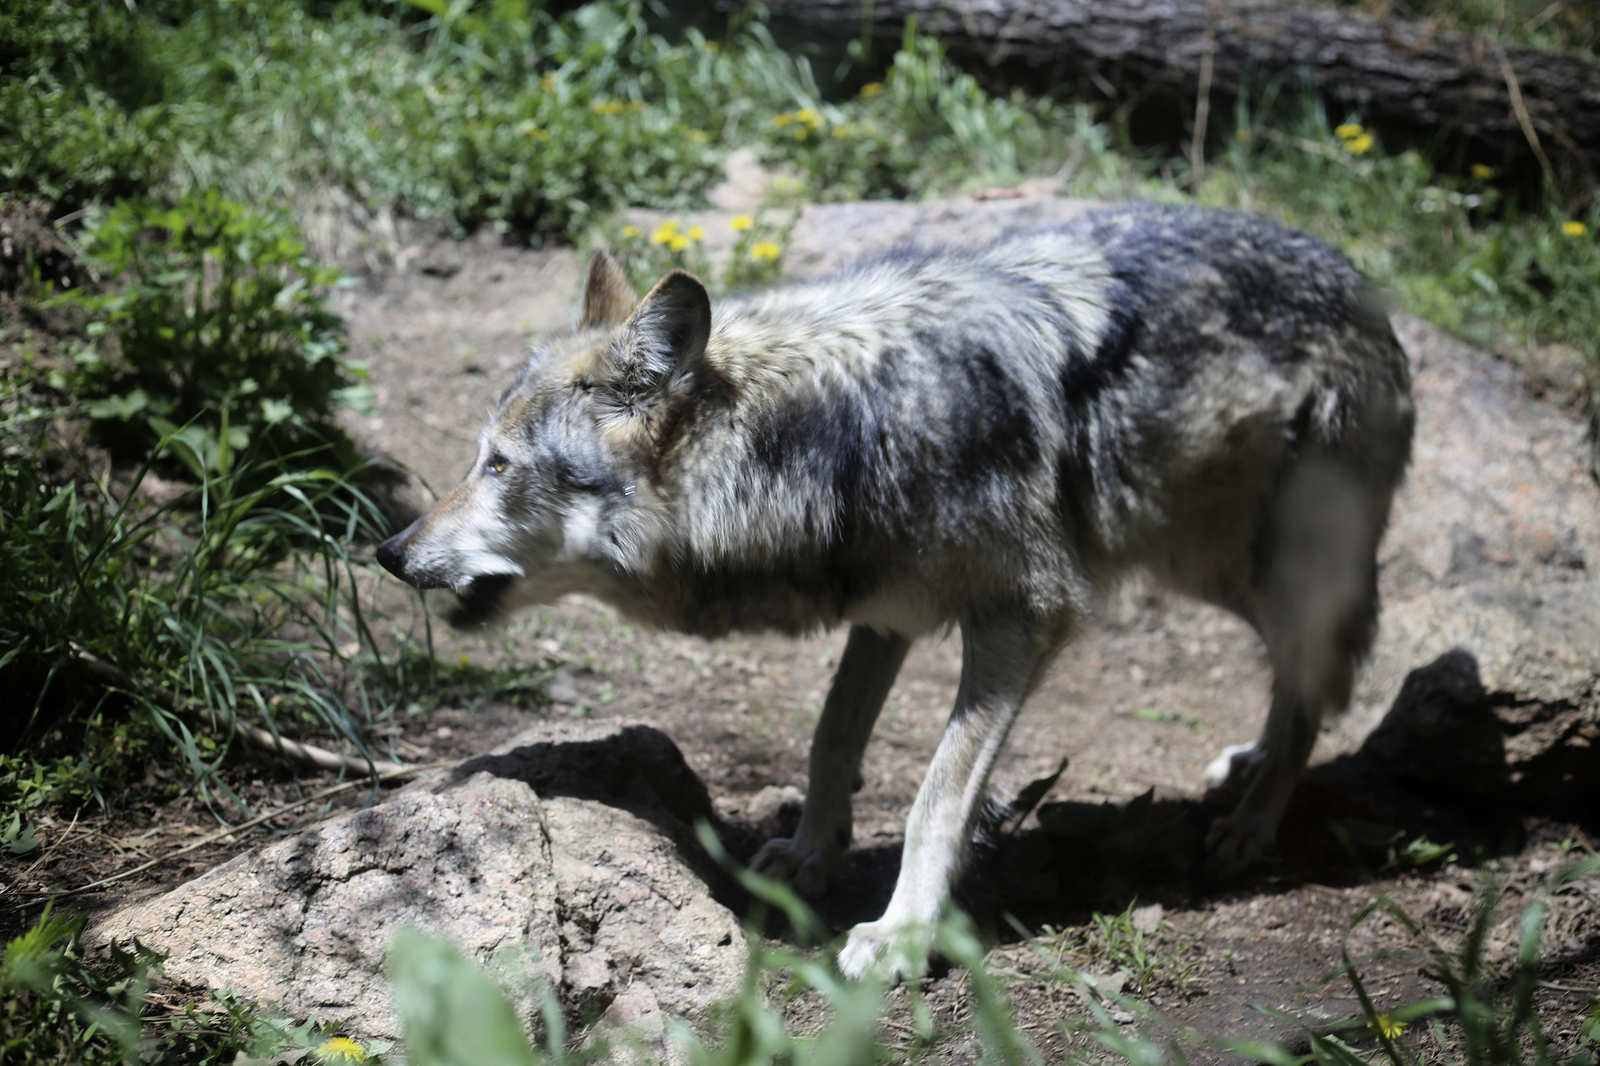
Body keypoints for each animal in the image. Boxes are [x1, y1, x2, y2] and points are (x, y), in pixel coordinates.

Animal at [374, 203, 1414, 973]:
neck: (831, 435)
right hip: (1201, 564)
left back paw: (1252, 821)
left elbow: (934, 796)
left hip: (1248, 564)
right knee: (1306, 671)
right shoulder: (886, 615)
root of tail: (1363, 282)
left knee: (1317, 672)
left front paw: (904, 932)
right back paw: (1250, 764)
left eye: (499, 467)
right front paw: (807, 855)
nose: (388, 550)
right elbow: (832, 739)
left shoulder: (1024, 621)